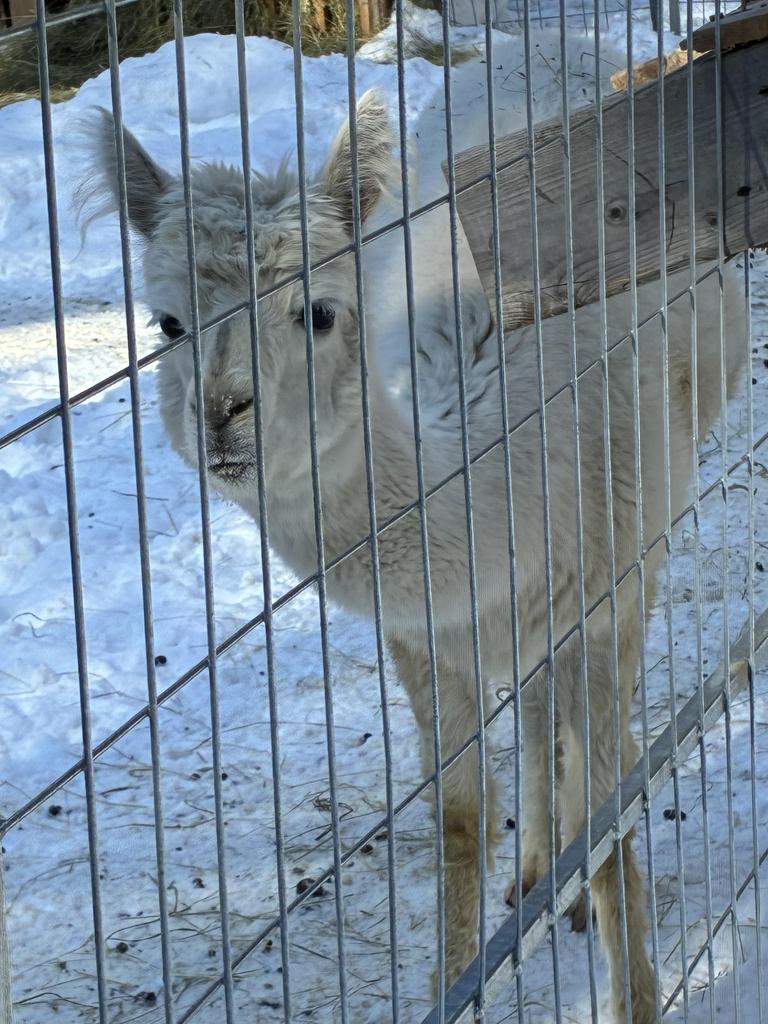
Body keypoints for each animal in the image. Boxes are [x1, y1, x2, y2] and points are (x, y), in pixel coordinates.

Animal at [81, 31, 745, 1023]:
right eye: (165, 323)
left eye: (317, 310)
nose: (223, 414)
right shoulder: (425, 635)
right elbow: (461, 816)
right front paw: (461, 975)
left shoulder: (603, 590)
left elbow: (613, 804)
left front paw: (634, 990)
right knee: (536, 708)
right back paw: (537, 876)